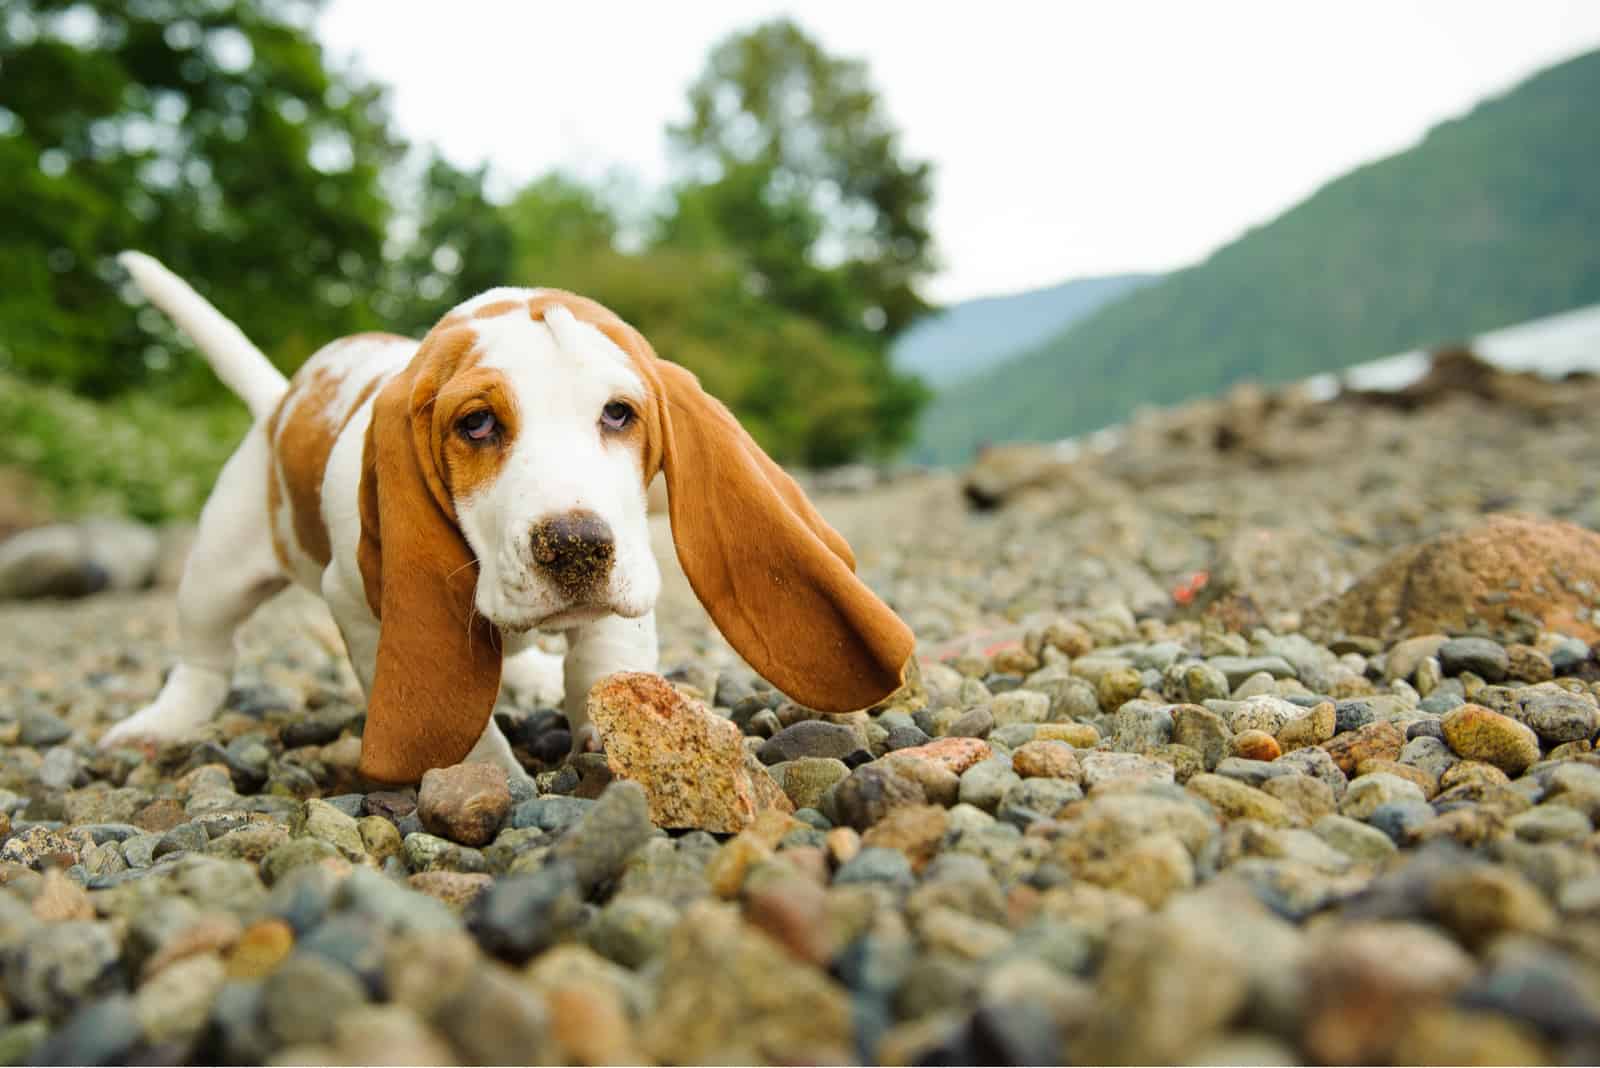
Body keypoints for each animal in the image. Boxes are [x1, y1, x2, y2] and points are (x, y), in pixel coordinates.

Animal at [106, 251, 915, 783]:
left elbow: (605, 657)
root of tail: (281, 401)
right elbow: (450, 717)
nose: (576, 546)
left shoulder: (631, 575)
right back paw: (159, 727)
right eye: (476, 425)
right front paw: (485, 783)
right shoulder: (361, 605)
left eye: (619, 413)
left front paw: (614, 728)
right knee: (205, 659)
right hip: (219, 567)